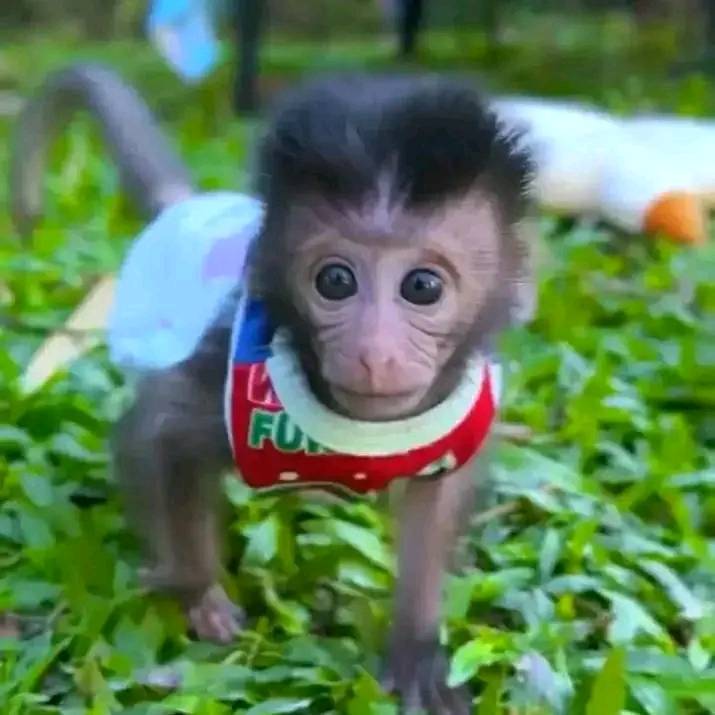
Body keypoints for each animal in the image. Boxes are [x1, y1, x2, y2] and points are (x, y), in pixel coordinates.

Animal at [11, 64, 535, 715]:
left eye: (422, 287)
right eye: (335, 281)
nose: (376, 352)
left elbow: (437, 501)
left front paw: (416, 645)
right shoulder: (226, 373)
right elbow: (157, 436)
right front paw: (197, 593)